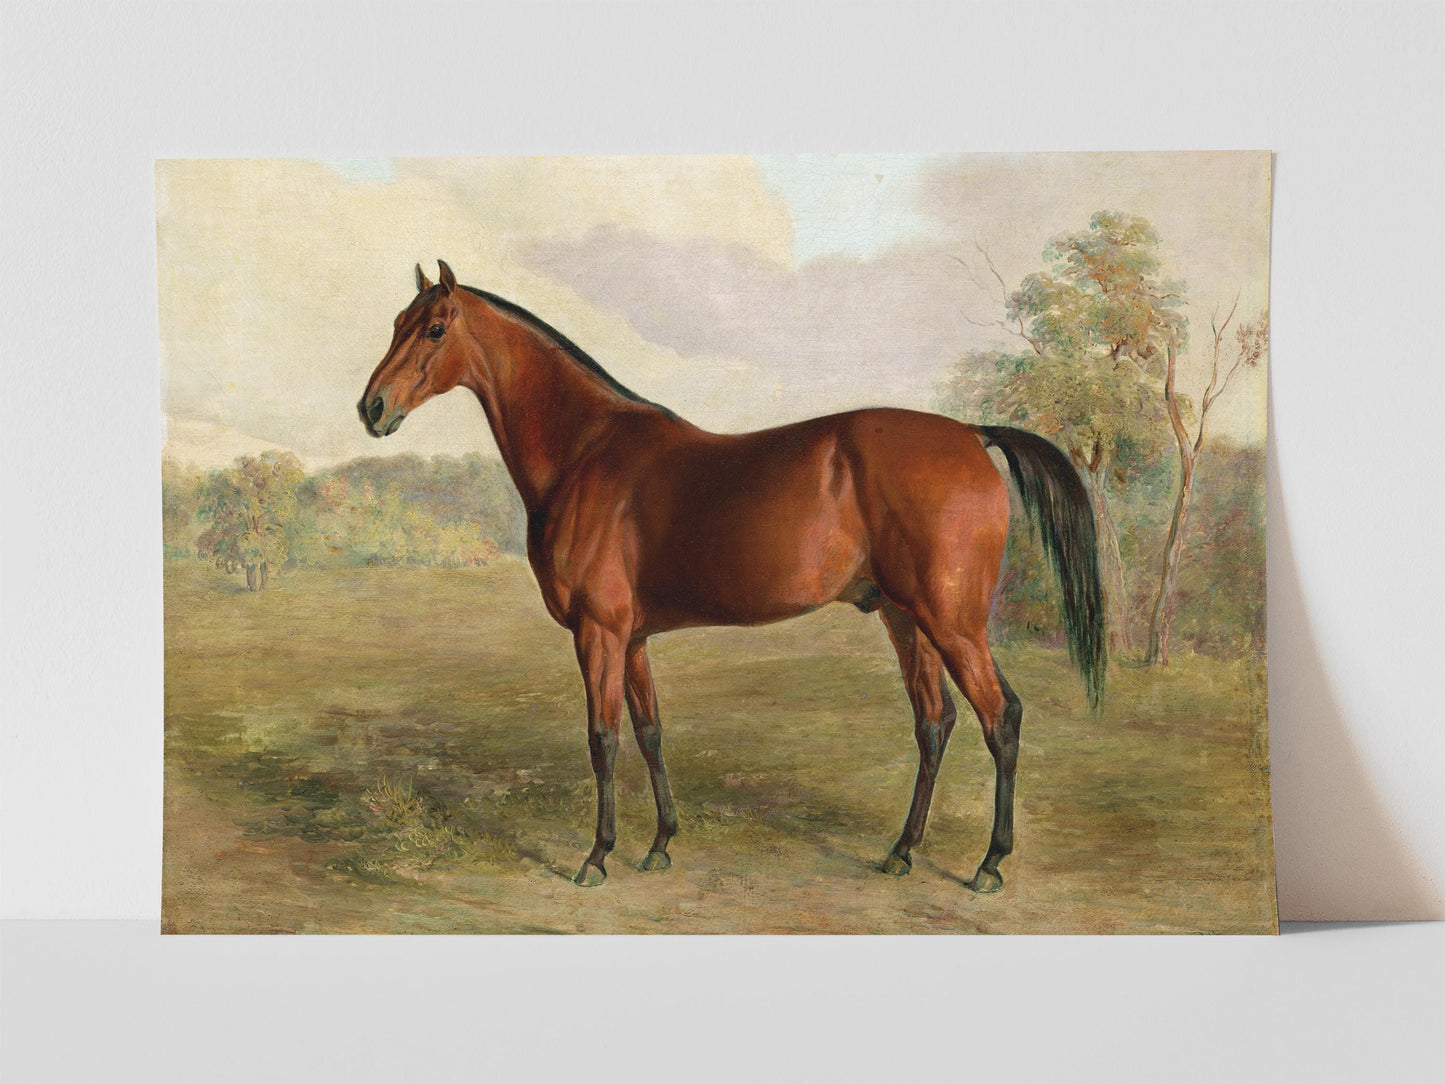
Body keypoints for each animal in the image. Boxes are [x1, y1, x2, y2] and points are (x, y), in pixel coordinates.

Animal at [359, 260, 1105, 893]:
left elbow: (602, 739)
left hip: (953, 621)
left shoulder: (598, 633)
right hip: (905, 618)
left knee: (999, 717)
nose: (372, 408)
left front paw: (597, 857)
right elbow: (650, 732)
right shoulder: (632, 638)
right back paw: (900, 852)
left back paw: (989, 864)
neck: (586, 452)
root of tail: (970, 434)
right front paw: (660, 845)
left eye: (433, 328)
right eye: (394, 322)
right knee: (934, 721)